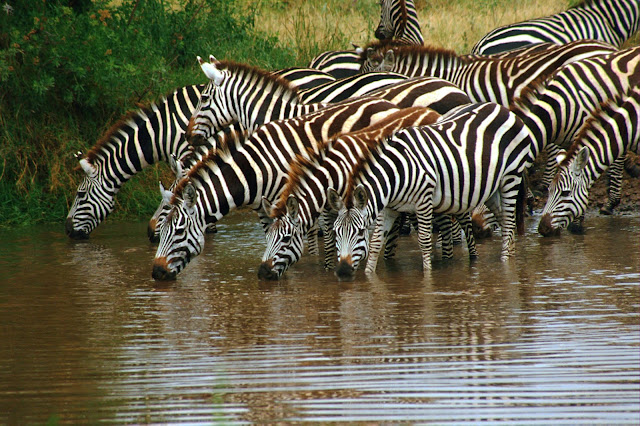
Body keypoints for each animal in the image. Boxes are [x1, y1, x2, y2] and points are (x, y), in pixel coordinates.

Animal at [151, 96, 407, 280]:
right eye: (163, 231)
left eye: (179, 232)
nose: (156, 273)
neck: (254, 170)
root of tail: (388, 104)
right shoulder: (264, 209)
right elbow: (271, 238)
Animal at [329, 102, 536, 279]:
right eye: (336, 232)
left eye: (360, 232)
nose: (343, 271)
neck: (396, 174)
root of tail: (503, 108)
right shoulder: (389, 207)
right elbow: (376, 243)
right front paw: (370, 278)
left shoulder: (424, 200)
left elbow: (424, 241)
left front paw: (427, 278)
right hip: (491, 187)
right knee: (504, 222)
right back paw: (510, 257)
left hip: (510, 176)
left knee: (508, 224)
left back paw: (506, 266)